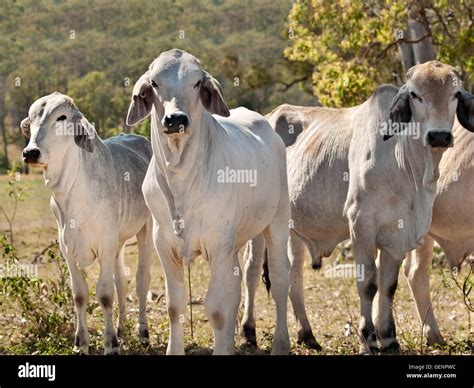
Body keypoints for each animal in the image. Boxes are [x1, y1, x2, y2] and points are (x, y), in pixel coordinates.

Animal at [21, 93, 154, 354]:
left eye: (61, 117)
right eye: (31, 119)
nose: (31, 152)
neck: (71, 192)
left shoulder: (105, 244)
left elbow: (104, 295)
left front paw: (110, 344)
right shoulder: (68, 248)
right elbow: (80, 295)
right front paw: (80, 343)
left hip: (145, 228)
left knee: (141, 280)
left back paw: (142, 333)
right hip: (119, 243)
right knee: (122, 282)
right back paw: (122, 331)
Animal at [124, 48, 290, 354]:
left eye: (197, 82)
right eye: (154, 83)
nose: (175, 119)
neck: (181, 180)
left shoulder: (218, 245)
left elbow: (217, 309)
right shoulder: (164, 245)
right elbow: (175, 306)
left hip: (278, 220)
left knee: (280, 279)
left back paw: (281, 344)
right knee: (239, 286)